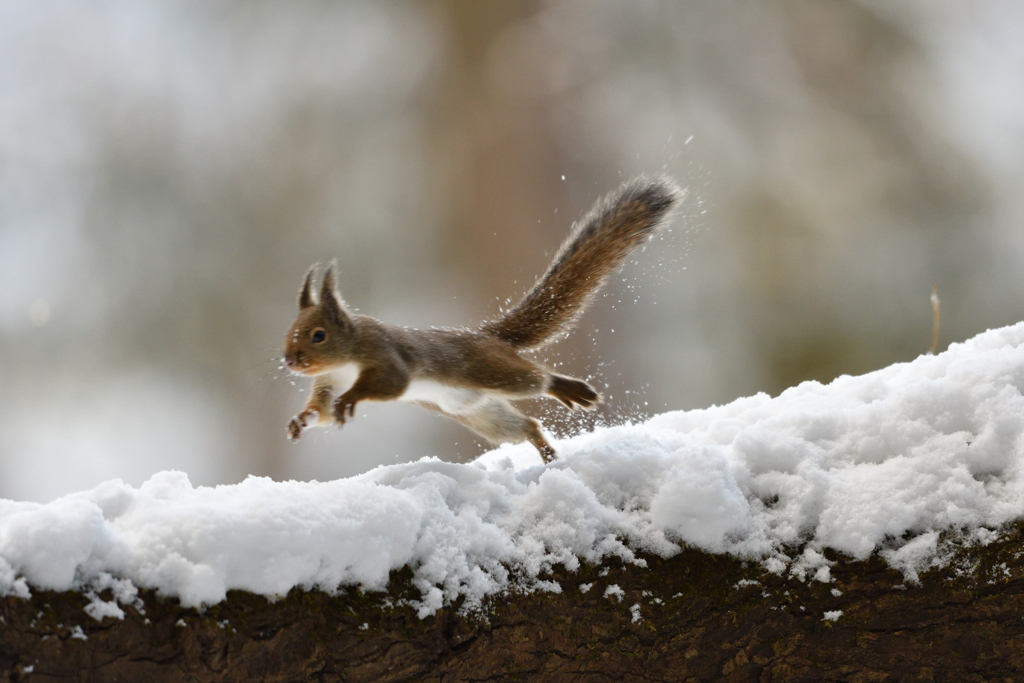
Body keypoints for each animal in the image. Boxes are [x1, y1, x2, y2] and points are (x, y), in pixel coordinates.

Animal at [282, 178, 679, 464]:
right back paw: (548, 454)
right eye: (289, 332)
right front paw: (301, 421)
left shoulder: (383, 354)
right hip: (479, 412)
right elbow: (321, 412)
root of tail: (488, 336)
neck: (345, 360)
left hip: (494, 372)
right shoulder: (326, 383)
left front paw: (351, 398)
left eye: (318, 335)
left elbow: (390, 382)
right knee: (527, 425)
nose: (289, 361)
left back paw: (566, 389)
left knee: (536, 379)